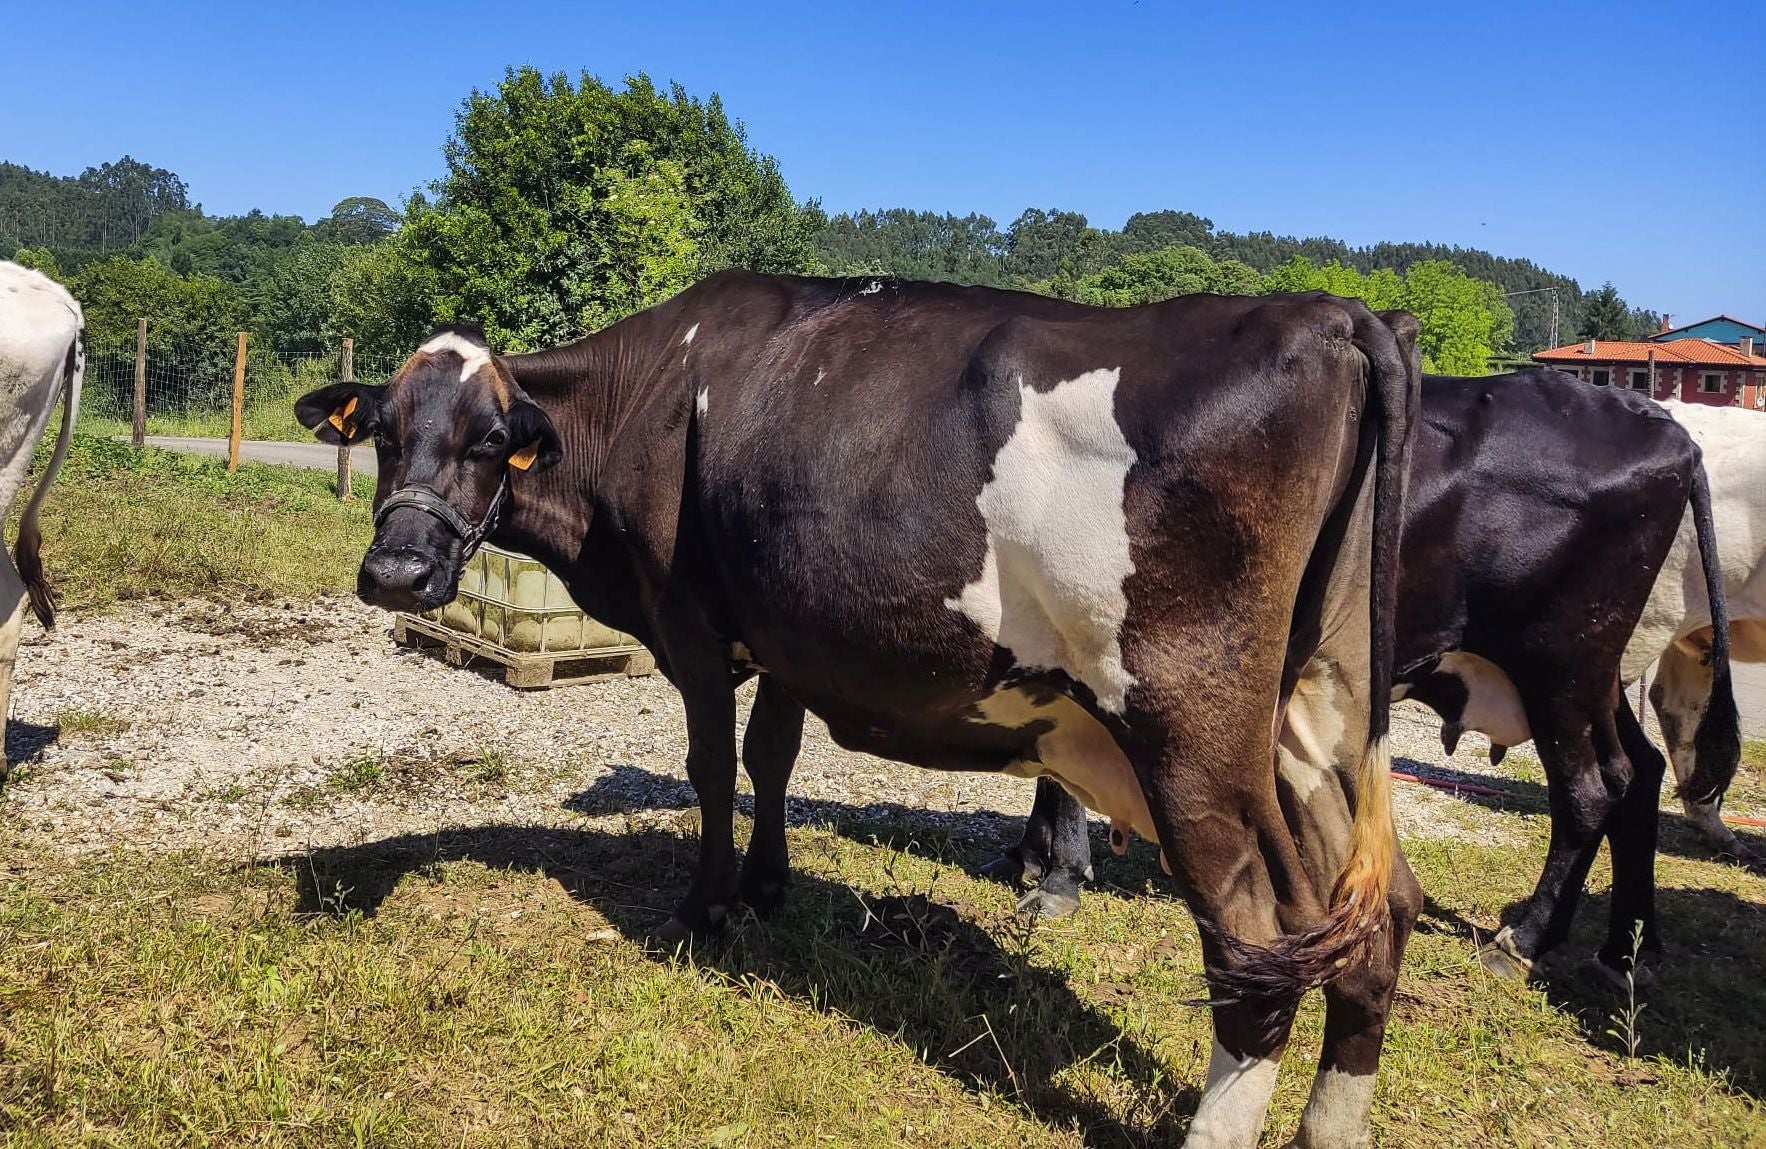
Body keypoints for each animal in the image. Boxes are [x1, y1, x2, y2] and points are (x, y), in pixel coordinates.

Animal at [300, 273, 1419, 1143]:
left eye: (491, 442)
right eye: (385, 435)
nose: (396, 572)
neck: (648, 392)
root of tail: (1328, 314)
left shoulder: (692, 626)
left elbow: (714, 767)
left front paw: (706, 906)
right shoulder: (787, 634)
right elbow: (772, 756)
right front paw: (767, 886)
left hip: (1191, 733)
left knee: (1255, 945)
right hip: (1316, 724)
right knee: (1378, 915)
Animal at [996, 370, 1737, 988]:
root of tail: (1658, 422)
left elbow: (1056, 768)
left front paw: (1057, 875)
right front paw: (1037, 856)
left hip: (1560, 665)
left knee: (1590, 793)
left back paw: (1523, 941)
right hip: (1594, 679)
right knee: (1639, 774)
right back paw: (1626, 952)